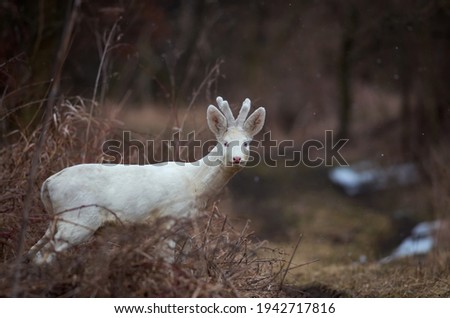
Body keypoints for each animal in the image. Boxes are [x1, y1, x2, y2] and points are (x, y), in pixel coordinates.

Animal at [28, 96, 266, 264]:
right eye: (225, 143)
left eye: (246, 143)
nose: (237, 158)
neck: (195, 184)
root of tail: (48, 184)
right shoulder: (169, 218)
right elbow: (167, 261)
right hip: (78, 219)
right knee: (44, 256)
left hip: (57, 221)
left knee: (33, 251)